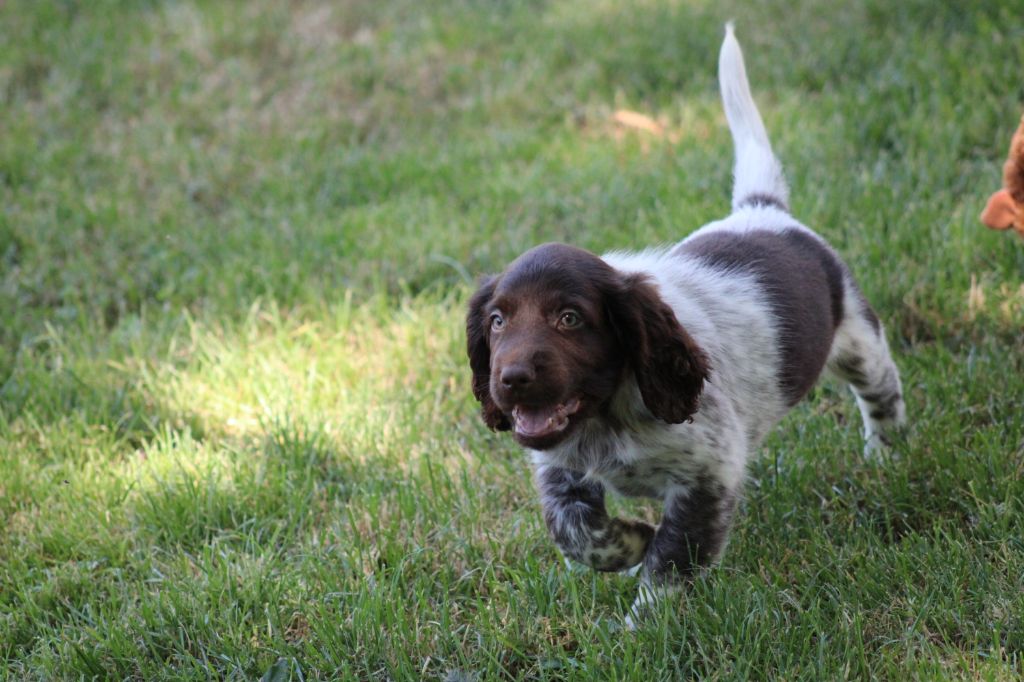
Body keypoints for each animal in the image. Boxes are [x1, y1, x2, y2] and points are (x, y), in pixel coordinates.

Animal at [464, 23, 905, 622]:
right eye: (496, 321)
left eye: (570, 318)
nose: (510, 380)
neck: (609, 416)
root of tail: (762, 210)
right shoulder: (561, 471)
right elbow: (577, 534)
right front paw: (631, 544)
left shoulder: (709, 475)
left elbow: (673, 558)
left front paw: (644, 624)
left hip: (858, 337)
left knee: (881, 392)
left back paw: (886, 455)